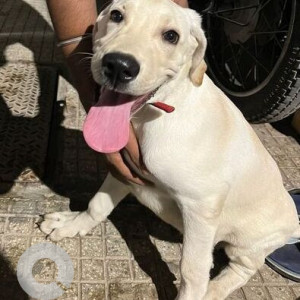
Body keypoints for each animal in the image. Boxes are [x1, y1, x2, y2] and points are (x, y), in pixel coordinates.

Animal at [40, 0, 300, 298]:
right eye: (116, 15)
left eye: (171, 36)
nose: (118, 65)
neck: (153, 115)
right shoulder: (125, 167)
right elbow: (98, 204)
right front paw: (73, 224)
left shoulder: (202, 204)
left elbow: (193, 271)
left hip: (249, 241)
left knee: (243, 268)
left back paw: (214, 289)